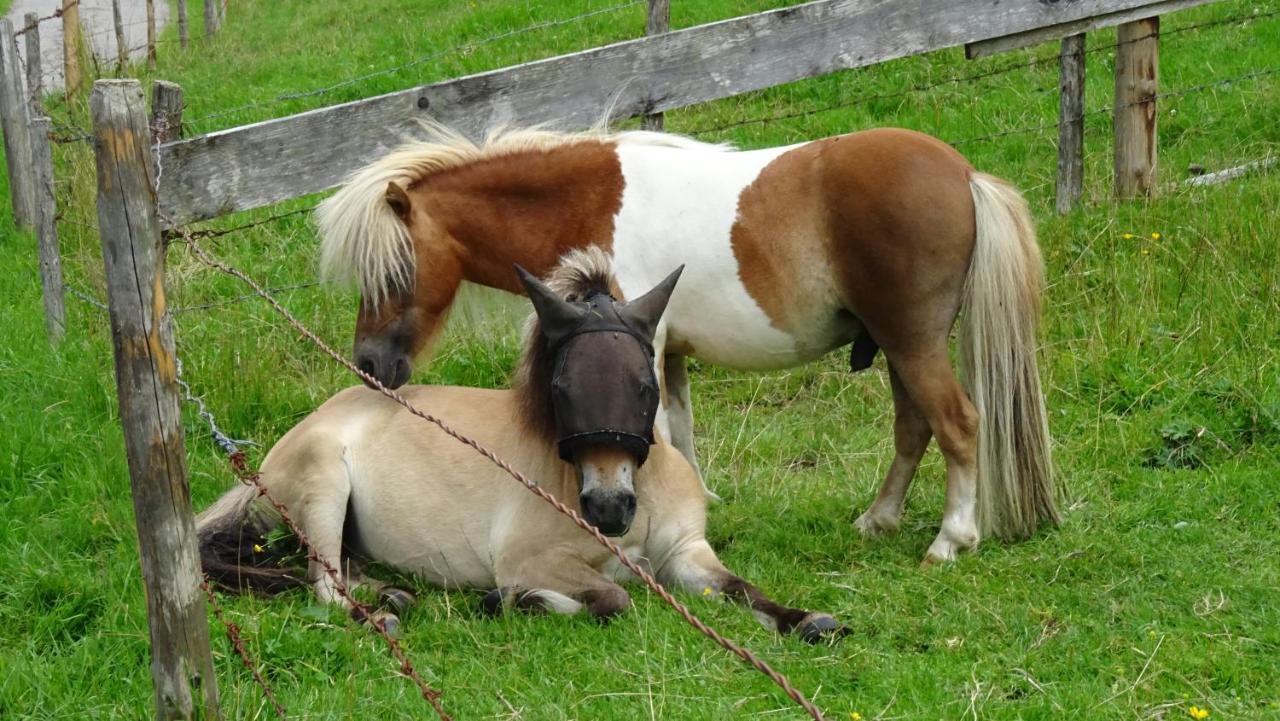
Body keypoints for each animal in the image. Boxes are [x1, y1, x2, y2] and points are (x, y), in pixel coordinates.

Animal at [194, 249, 839, 642]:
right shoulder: (535, 561)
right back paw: (383, 613)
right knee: (323, 586)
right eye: (560, 387)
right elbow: (614, 598)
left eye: (644, 384)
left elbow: (739, 588)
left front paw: (811, 620)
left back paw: (394, 594)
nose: (608, 510)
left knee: (338, 572)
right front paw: (511, 602)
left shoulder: (686, 553)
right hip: (325, 488)